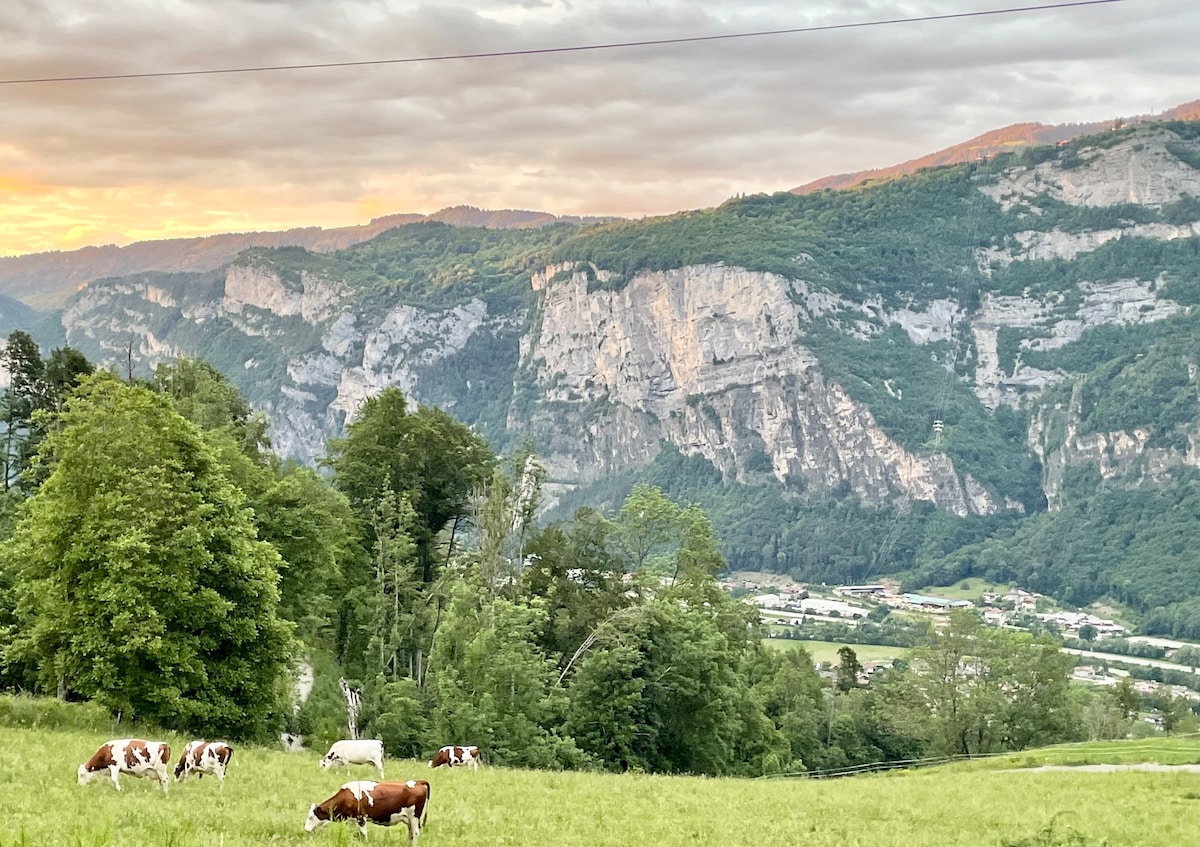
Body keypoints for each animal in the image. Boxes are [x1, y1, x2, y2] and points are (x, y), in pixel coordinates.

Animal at [304, 777, 432, 839]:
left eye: (310, 817)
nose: (306, 830)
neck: (346, 797)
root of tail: (418, 782)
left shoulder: (361, 818)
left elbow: (364, 834)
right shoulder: (352, 820)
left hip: (414, 818)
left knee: (415, 833)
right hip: (409, 820)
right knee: (411, 834)